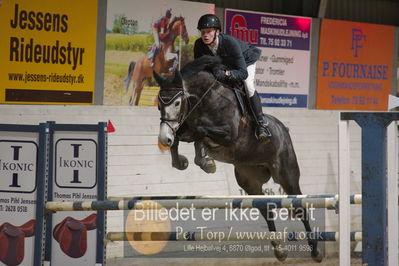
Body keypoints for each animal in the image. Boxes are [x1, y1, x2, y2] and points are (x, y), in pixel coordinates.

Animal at [155, 56, 324, 262]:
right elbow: (181, 137)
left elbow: (200, 131)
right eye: (159, 105)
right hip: (249, 180)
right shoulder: (185, 128)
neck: (205, 99)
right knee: (265, 208)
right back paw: (279, 250)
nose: (163, 138)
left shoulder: (229, 134)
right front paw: (183, 161)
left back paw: (315, 251)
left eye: (177, 103)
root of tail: (283, 129)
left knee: (300, 207)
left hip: (287, 175)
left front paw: (206, 161)